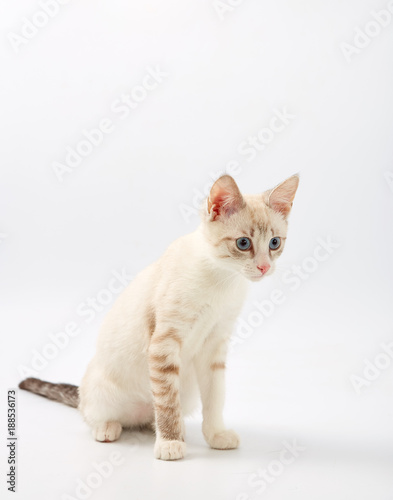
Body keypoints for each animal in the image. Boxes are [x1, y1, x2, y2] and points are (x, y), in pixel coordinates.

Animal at [19, 175, 298, 460]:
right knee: (94, 412)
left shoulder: (214, 345)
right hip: (101, 391)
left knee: (153, 415)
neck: (222, 279)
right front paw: (169, 443)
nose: (264, 267)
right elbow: (166, 403)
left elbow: (215, 397)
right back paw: (108, 428)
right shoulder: (164, 342)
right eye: (243, 243)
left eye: (275, 243)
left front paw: (216, 434)